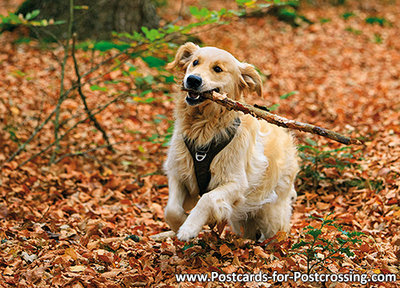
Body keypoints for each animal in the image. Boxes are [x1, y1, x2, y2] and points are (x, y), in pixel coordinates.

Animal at [164, 42, 298, 241]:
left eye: (218, 69)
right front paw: (180, 223)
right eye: (195, 62)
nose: (193, 80)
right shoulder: (178, 172)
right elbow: (171, 209)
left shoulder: (236, 183)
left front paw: (189, 228)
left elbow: (207, 199)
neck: (204, 127)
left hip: (271, 212)